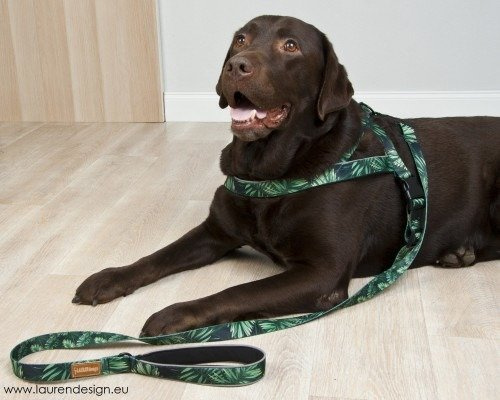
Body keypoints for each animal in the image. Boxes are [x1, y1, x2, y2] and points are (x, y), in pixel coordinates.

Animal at [73, 15, 500, 337]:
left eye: (290, 46)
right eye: (240, 39)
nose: (236, 65)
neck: (269, 170)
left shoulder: (323, 273)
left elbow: (238, 291)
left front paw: (177, 314)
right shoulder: (214, 233)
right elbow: (159, 256)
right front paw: (109, 277)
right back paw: (459, 254)